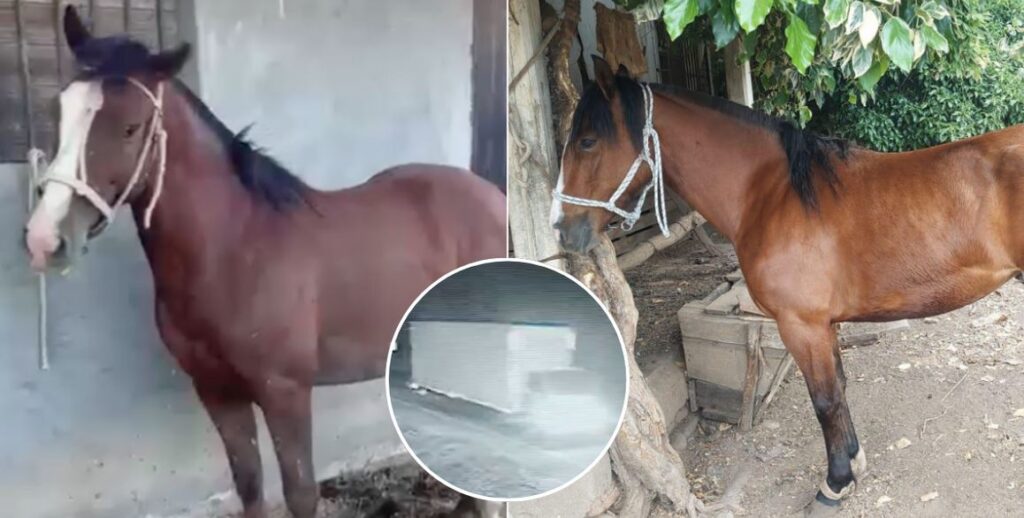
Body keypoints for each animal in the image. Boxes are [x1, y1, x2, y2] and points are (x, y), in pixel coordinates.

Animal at [23, 7, 506, 518]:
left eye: (131, 127)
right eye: (58, 113)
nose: (45, 238)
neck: (235, 250)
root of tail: (492, 197)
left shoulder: (285, 391)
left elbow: (299, 492)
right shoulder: (217, 391)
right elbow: (250, 484)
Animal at [551, 55, 1024, 515]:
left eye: (588, 141)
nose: (563, 229)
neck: (773, 194)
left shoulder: (802, 325)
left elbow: (826, 401)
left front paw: (834, 485)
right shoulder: (824, 326)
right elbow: (840, 390)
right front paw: (853, 466)